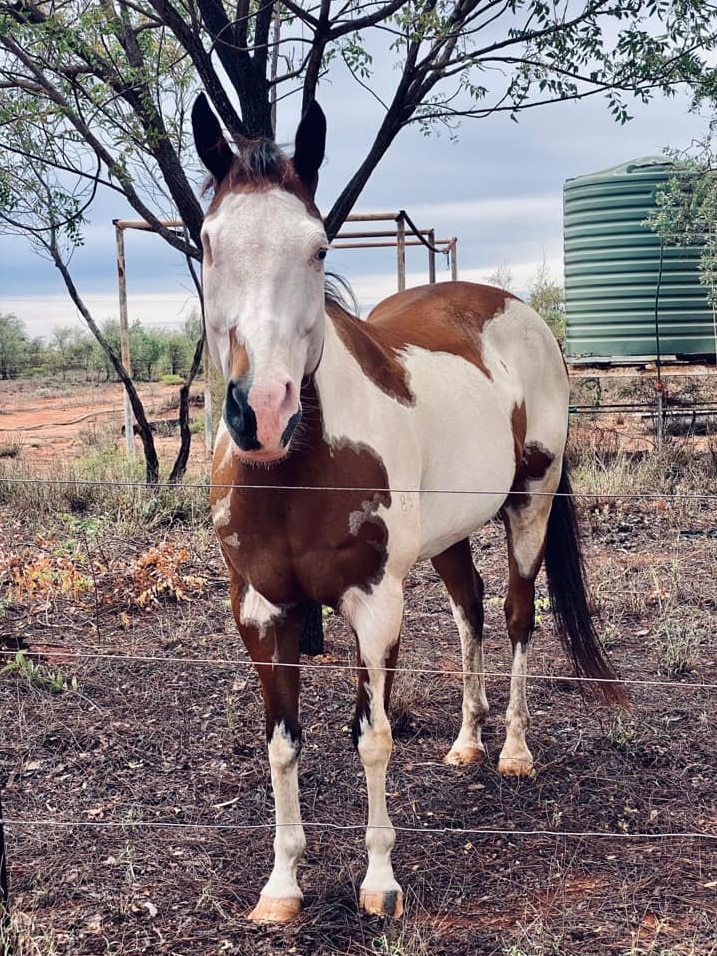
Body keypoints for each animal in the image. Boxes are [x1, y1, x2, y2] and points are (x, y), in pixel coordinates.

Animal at [193, 93, 624, 924]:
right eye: (206, 241)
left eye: (319, 247)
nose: (262, 412)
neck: (296, 473)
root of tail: (514, 311)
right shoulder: (259, 608)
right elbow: (281, 743)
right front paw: (281, 886)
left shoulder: (374, 602)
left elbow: (373, 737)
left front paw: (379, 881)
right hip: (449, 536)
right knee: (471, 611)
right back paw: (466, 742)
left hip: (528, 507)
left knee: (516, 616)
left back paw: (512, 750)